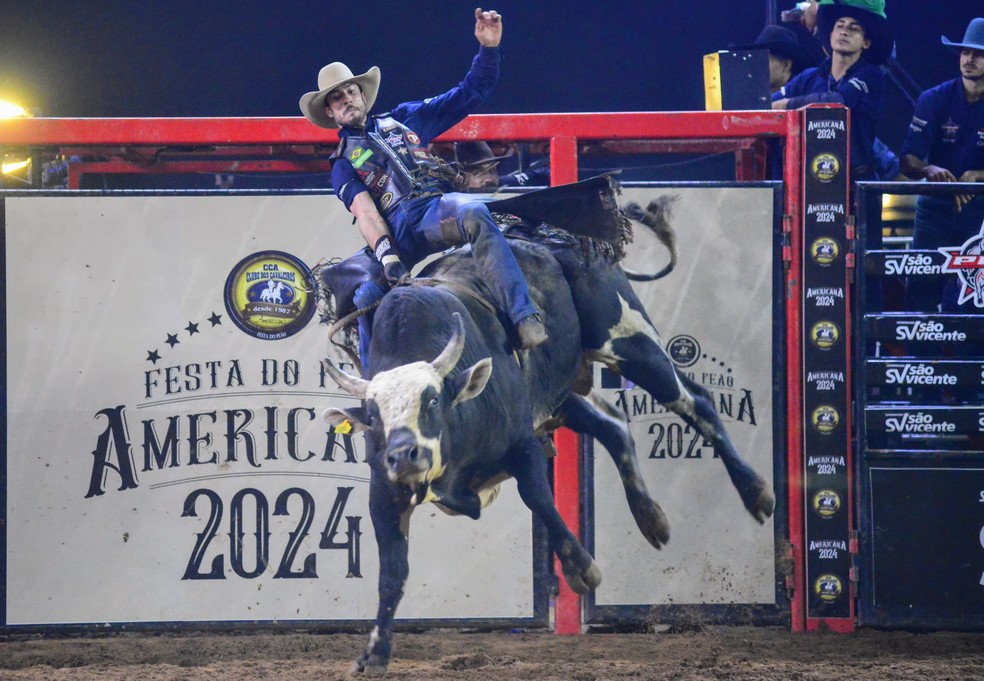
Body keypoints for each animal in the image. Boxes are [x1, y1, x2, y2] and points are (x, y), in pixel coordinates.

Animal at [320, 177, 772, 676]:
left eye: (432, 399)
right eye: (374, 415)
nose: (405, 456)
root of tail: (555, 238)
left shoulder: (522, 443)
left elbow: (537, 496)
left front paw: (581, 568)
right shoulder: (386, 491)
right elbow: (391, 573)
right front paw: (374, 653)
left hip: (631, 342)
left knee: (697, 404)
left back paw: (755, 493)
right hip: (562, 390)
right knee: (615, 426)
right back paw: (651, 519)